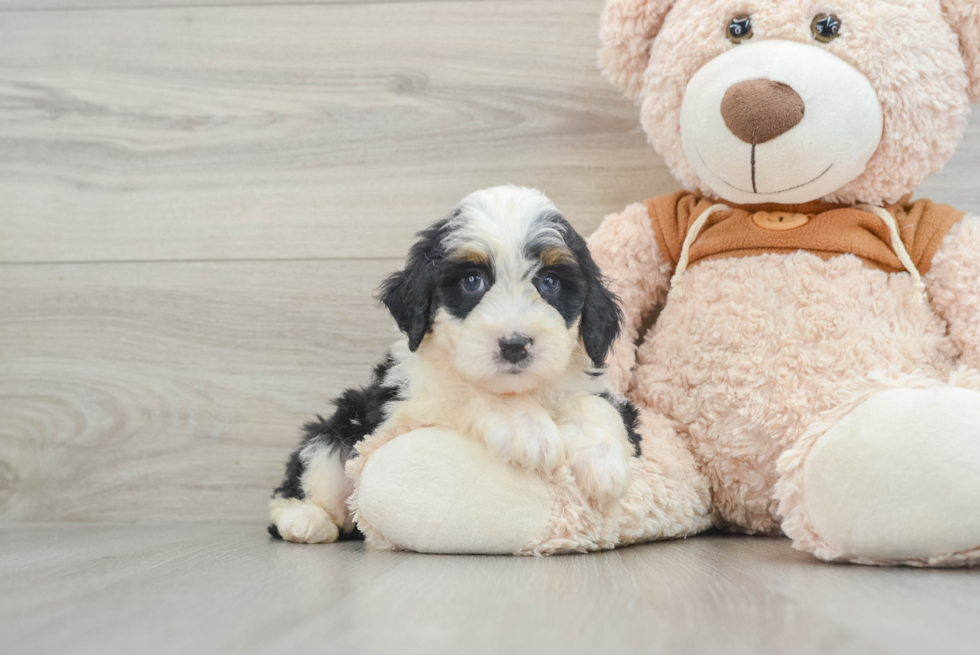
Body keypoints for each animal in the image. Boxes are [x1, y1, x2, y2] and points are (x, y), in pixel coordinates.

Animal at [268, 187, 640, 544]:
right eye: (472, 280)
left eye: (550, 282)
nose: (514, 345)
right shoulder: (400, 406)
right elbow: (463, 389)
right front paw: (528, 429)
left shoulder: (600, 392)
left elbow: (596, 405)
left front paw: (604, 463)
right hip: (336, 433)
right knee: (305, 482)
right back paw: (305, 520)